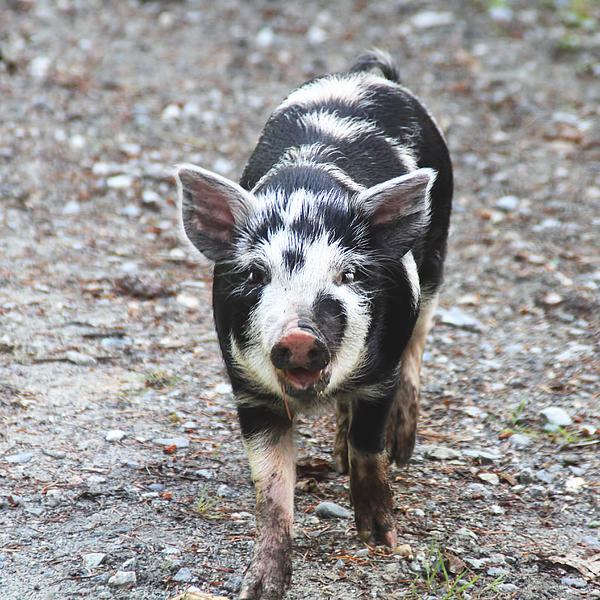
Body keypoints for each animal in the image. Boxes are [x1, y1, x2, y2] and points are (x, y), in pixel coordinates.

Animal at [176, 51, 452, 600]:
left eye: (348, 274)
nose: (300, 336)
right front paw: (259, 587)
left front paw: (382, 539)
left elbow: (369, 447)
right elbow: (271, 489)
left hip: (437, 259)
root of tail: (364, 75)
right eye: (256, 274)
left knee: (419, 344)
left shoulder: (380, 374)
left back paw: (402, 447)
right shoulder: (249, 390)